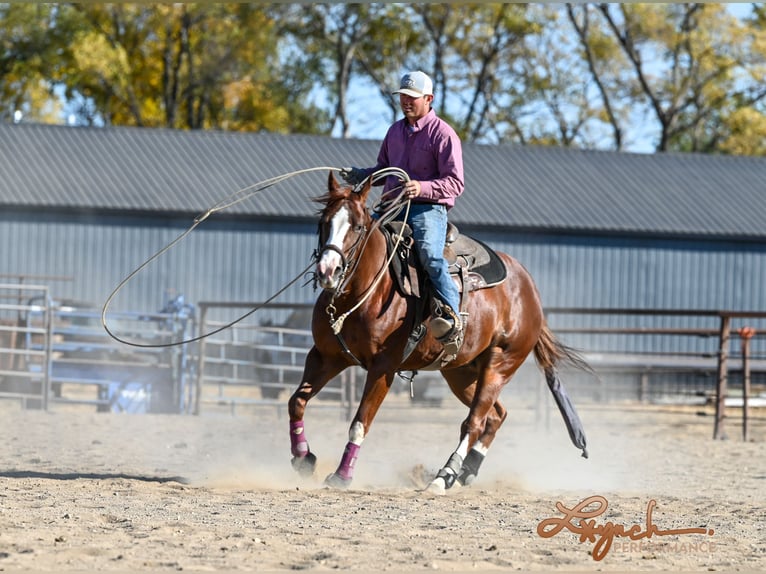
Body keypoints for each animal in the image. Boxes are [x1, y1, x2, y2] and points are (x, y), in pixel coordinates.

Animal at [288, 172, 588, 496]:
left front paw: (342, 476)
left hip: (500, 364)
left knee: (474, 422)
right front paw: (303, 458)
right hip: (461, 372)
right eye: (324, 222)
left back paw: (444, 477)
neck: (364, 292)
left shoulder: (383, 368)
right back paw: (466, 471)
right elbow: (296, 402)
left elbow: (360, 422)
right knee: (496, 415)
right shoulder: (326, 357)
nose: (327, 271)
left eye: (357, 226)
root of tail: (529, 288)